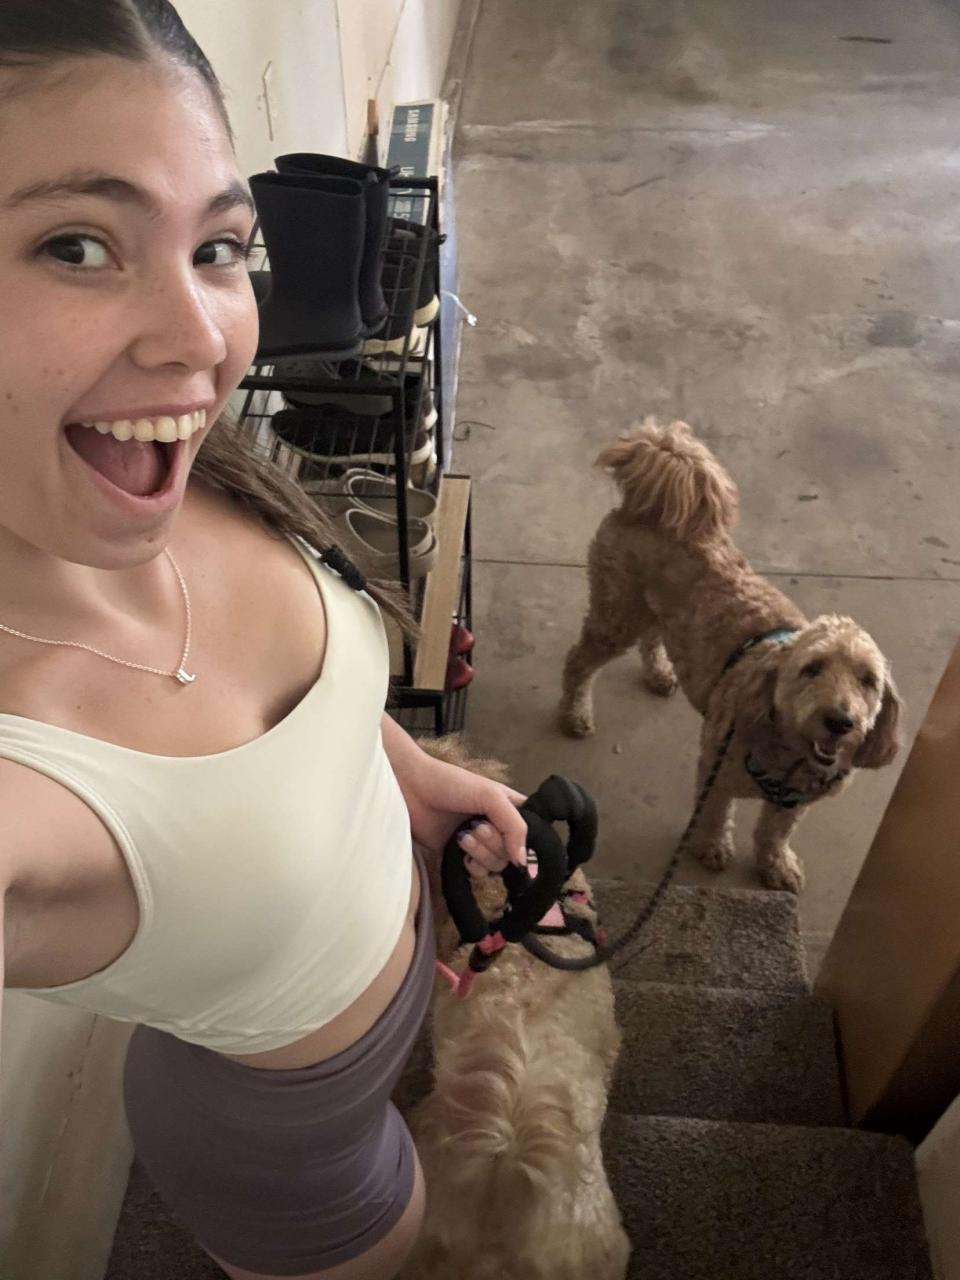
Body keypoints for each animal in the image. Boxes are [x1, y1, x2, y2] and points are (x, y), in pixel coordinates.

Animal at [558, 418, 902, 894]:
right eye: (811, 670)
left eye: (867, 680)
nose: (840, 721)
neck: (787, 751)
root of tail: (648, 505)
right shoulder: (716, 775)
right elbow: (716, 814)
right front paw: (712, 847)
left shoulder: (793, 803)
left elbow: (773, 832)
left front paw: (776, 864)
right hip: (618, 613)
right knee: (579, 661)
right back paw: (575, 712)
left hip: (654, 609)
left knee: (652, 637)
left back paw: (658, 673)